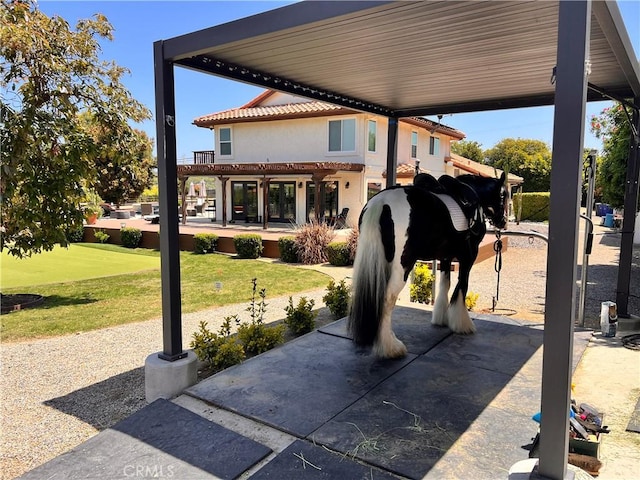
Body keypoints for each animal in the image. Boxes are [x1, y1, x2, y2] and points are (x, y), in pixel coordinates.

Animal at [348, 172, 508, 356]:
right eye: (503, 195)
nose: (503, 222)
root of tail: (382, 203)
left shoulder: (445, 257)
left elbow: (445, 284)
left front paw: (441, 318)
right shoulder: (468, 256)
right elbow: (462, 286)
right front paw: (462, 324)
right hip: (402, 266)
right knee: (388, 299)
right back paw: (391, 347)